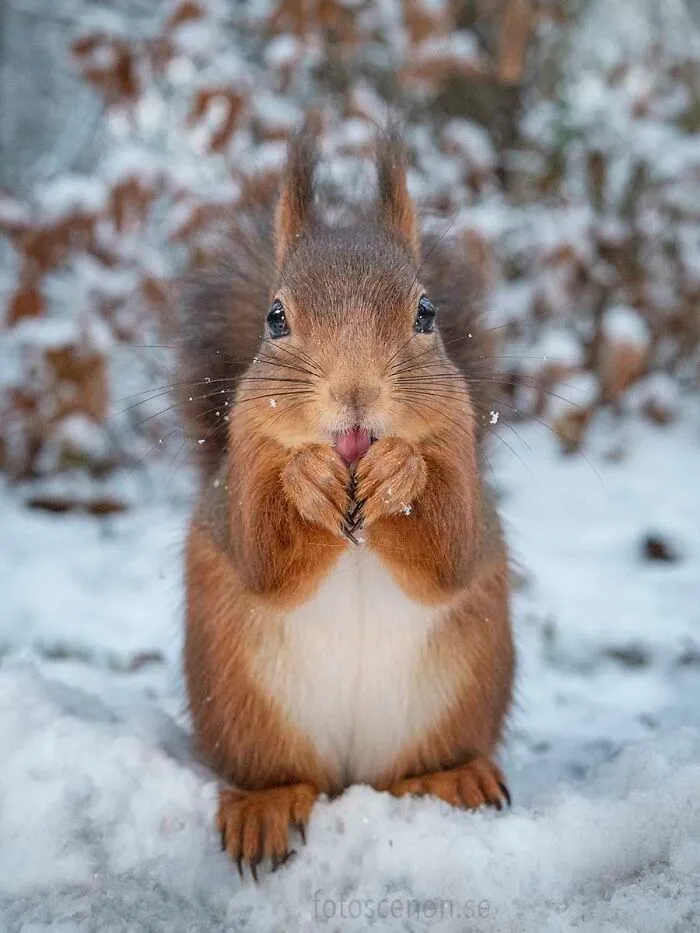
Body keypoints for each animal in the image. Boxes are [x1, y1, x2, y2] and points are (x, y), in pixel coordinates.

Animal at [178, 120, 515, 878]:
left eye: (427, 312)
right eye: (275, 318)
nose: (355, 393)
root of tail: (353, 777)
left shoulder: (462, 460)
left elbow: (451, 547)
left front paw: (400, 472)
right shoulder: (239, 474)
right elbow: (262, 553)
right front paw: (307, 477)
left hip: (462, 695)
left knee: (416, 769)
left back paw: (454, 776)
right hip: (242, 706)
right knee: (279, 772)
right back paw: (265, 805)